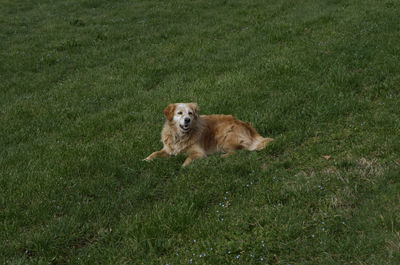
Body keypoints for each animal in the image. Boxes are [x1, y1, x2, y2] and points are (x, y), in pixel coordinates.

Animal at [142, 102, 274, 166]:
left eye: (190, 113)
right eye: (179, 113)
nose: (187, 120)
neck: (180, 135)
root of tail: (248, 127)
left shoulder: (198, 152)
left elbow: (188, 159)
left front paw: (183, 167)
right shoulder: (168, 149)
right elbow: (155, 153)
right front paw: (145, 160)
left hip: (224, 137)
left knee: (241, 151)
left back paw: (222, 157)